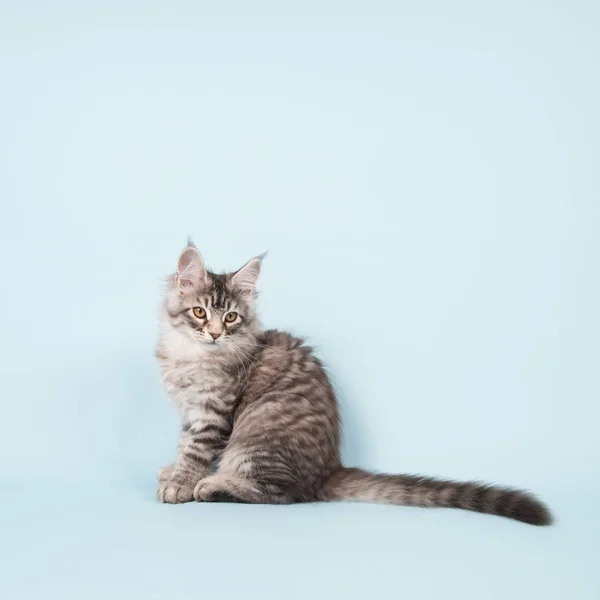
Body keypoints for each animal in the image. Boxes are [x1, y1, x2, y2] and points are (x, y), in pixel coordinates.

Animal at [155, 241, 552, 528]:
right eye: (200, 313)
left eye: (231, 318)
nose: (215, 334)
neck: (191, 356)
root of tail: (330, 468)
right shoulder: (190, 410)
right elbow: (184, 444)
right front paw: (173, 470)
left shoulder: (213, 412)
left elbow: (196, 450)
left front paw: (182, 483)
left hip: (256, 438)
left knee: (283, 494)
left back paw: (214, 485)